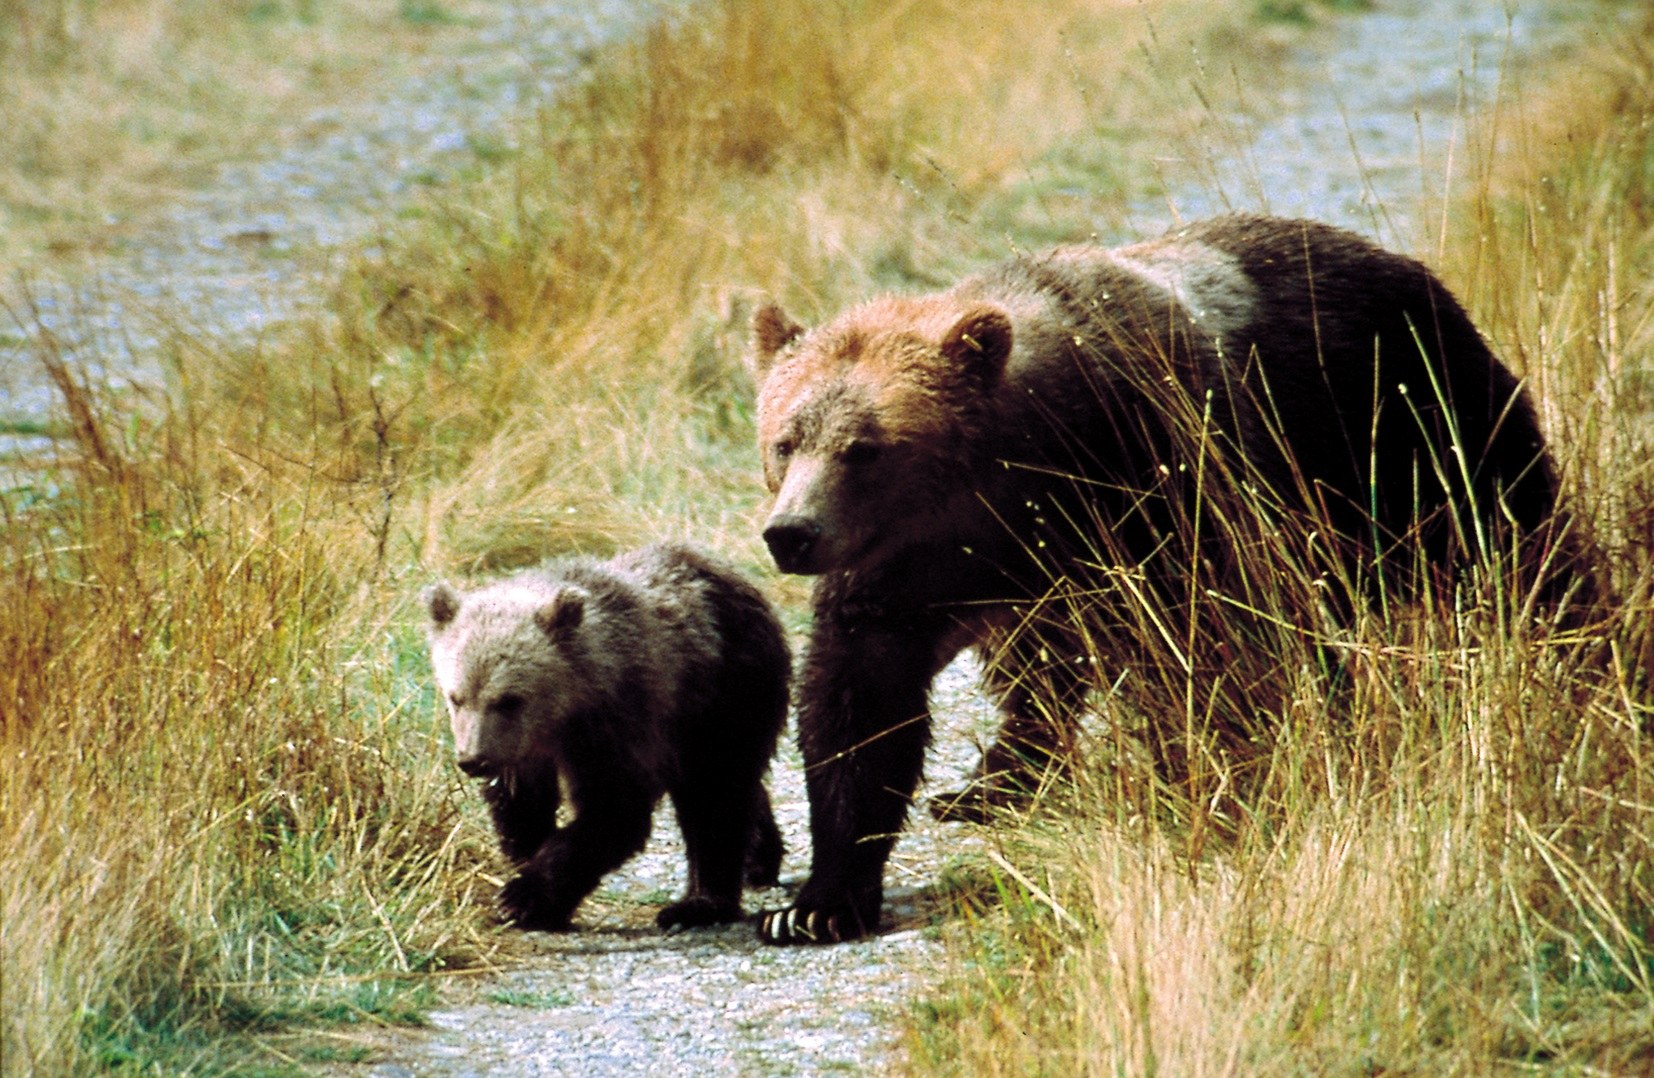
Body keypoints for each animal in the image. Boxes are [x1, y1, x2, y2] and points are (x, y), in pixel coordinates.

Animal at [422, 543, 790, 932]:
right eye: (456, 697)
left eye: (509, 699)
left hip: (722, 695)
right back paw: (760, 860)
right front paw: (529, 861)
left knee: (714, 795)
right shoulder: (523, 751)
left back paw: (699, 903)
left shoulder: (616, 724)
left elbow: (613, 810)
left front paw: (524, 899)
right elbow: (522, 804)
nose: (473, 759)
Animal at [744, 213, 1591, 944]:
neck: (1015, 471)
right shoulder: (910, 567)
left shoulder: (1155, 483)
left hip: (1414, 428)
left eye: (864, 448)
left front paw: (1218, 796)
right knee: (1041, 670)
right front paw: (817, 902)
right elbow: (859, 703)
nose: (792, 534)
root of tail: (1407, 266)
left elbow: (1206, 655)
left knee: (1522, 550)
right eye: (786, 439)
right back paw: (988, 784)